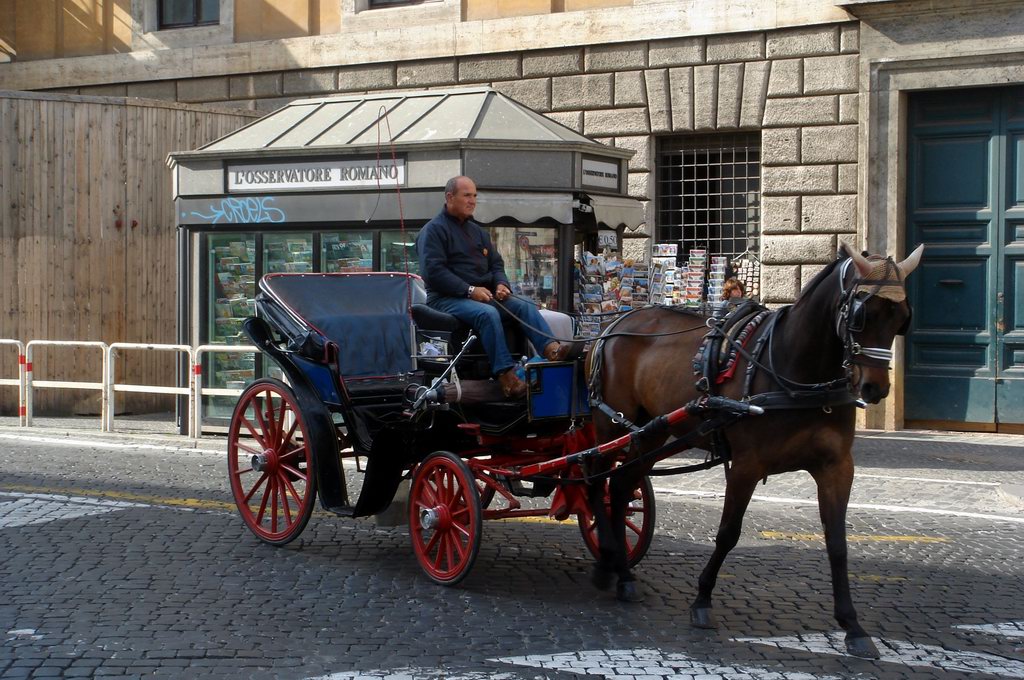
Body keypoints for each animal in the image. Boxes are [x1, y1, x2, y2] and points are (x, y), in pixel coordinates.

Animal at [585, 242, 929, 659]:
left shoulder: (837, 467)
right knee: (594, 481)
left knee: (620, 488)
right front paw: (702, 599)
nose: (875, 388)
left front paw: (852, 624)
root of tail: (614, 325)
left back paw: (620, 571)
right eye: (863, 314)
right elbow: (728, 533)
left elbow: (837, 543)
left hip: (650, 432)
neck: (796, 371)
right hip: (611, 425)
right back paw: (609, 560)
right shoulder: (747, 465)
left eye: (902, 317)